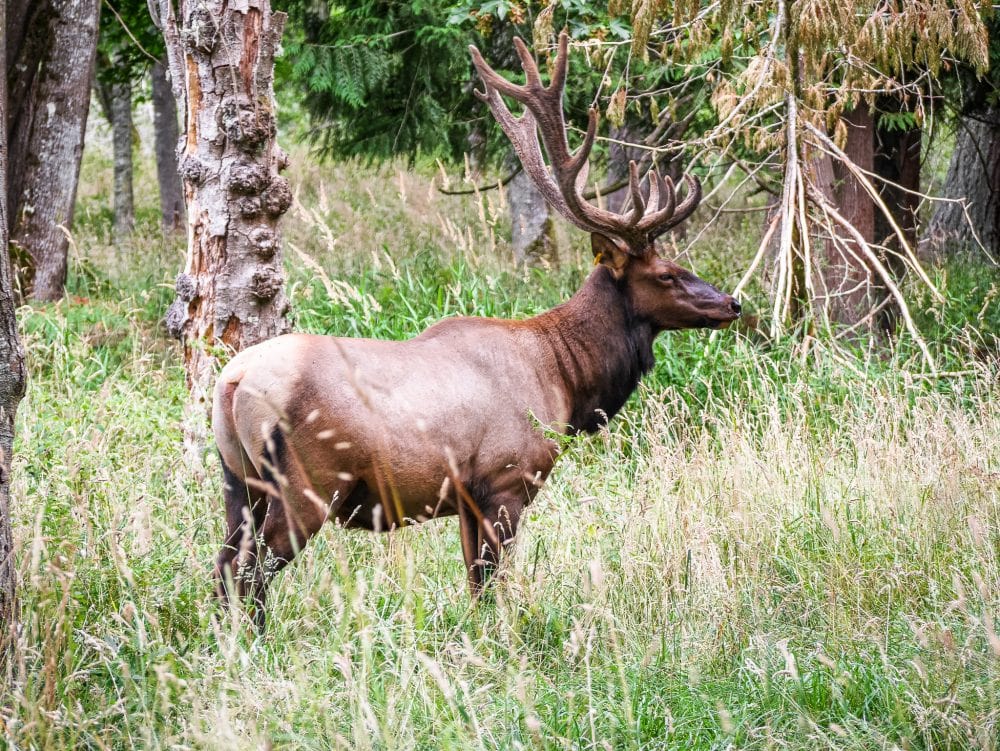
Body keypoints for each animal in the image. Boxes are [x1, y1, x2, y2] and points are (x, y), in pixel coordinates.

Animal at [213, 32, 744, 628]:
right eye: (667, 274)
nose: (732, 304)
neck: (566, 376)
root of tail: (233, 382)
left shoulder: (465, 496)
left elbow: (472, 582)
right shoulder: (507, 480)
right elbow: (490, 584)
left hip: (237, 481)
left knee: (224, 566)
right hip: (306, 482)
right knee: (253, 572)